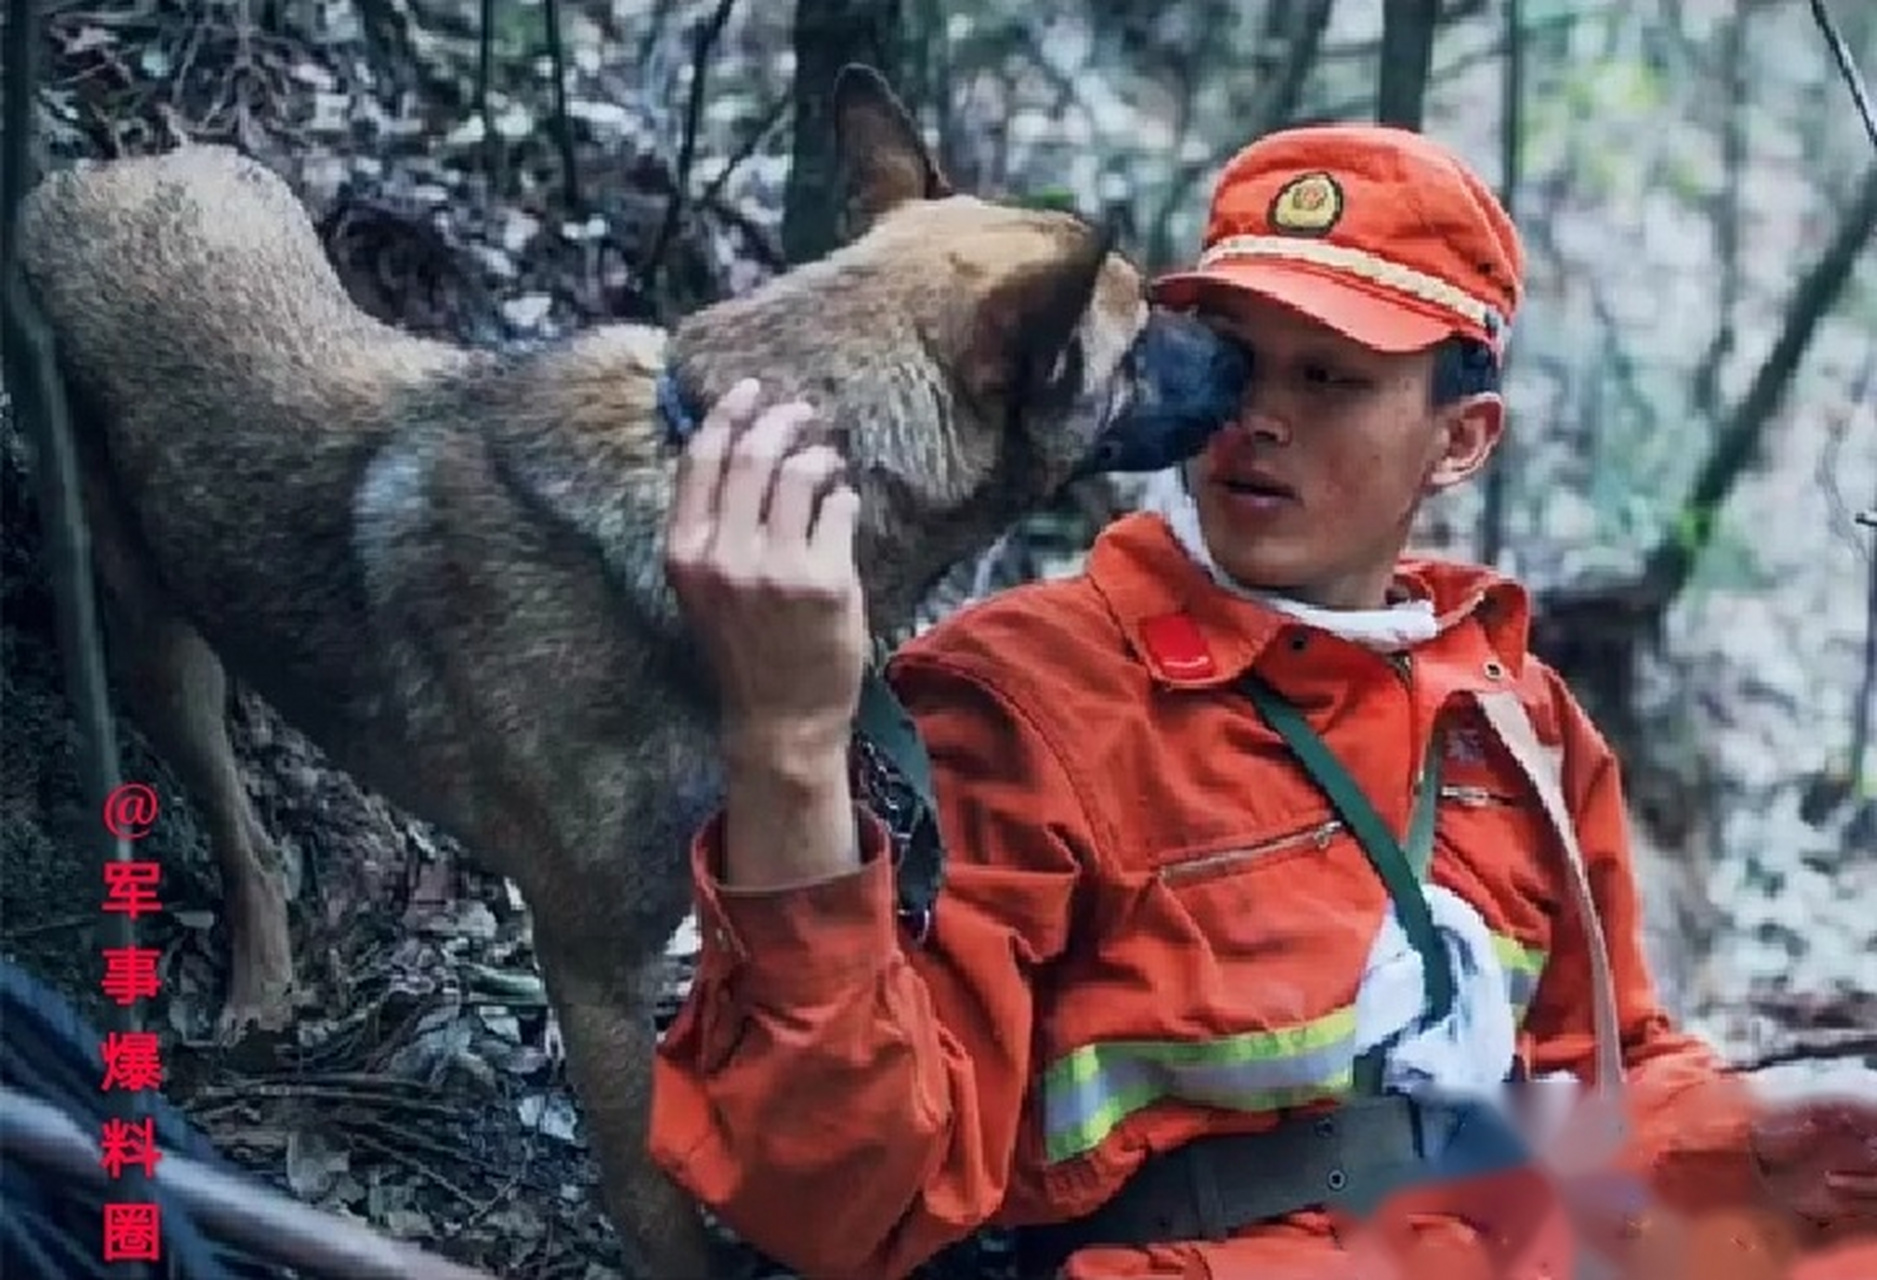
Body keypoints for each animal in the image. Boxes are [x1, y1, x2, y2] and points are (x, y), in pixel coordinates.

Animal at [14, 64, 1171, 1268]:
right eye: (1139, 348)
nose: (1225, 342)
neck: (701, 467)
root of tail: (100, 174)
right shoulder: (596, 971)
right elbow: (659, 1210)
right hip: (152, 634)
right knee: (232, 815)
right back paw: (257, 975)